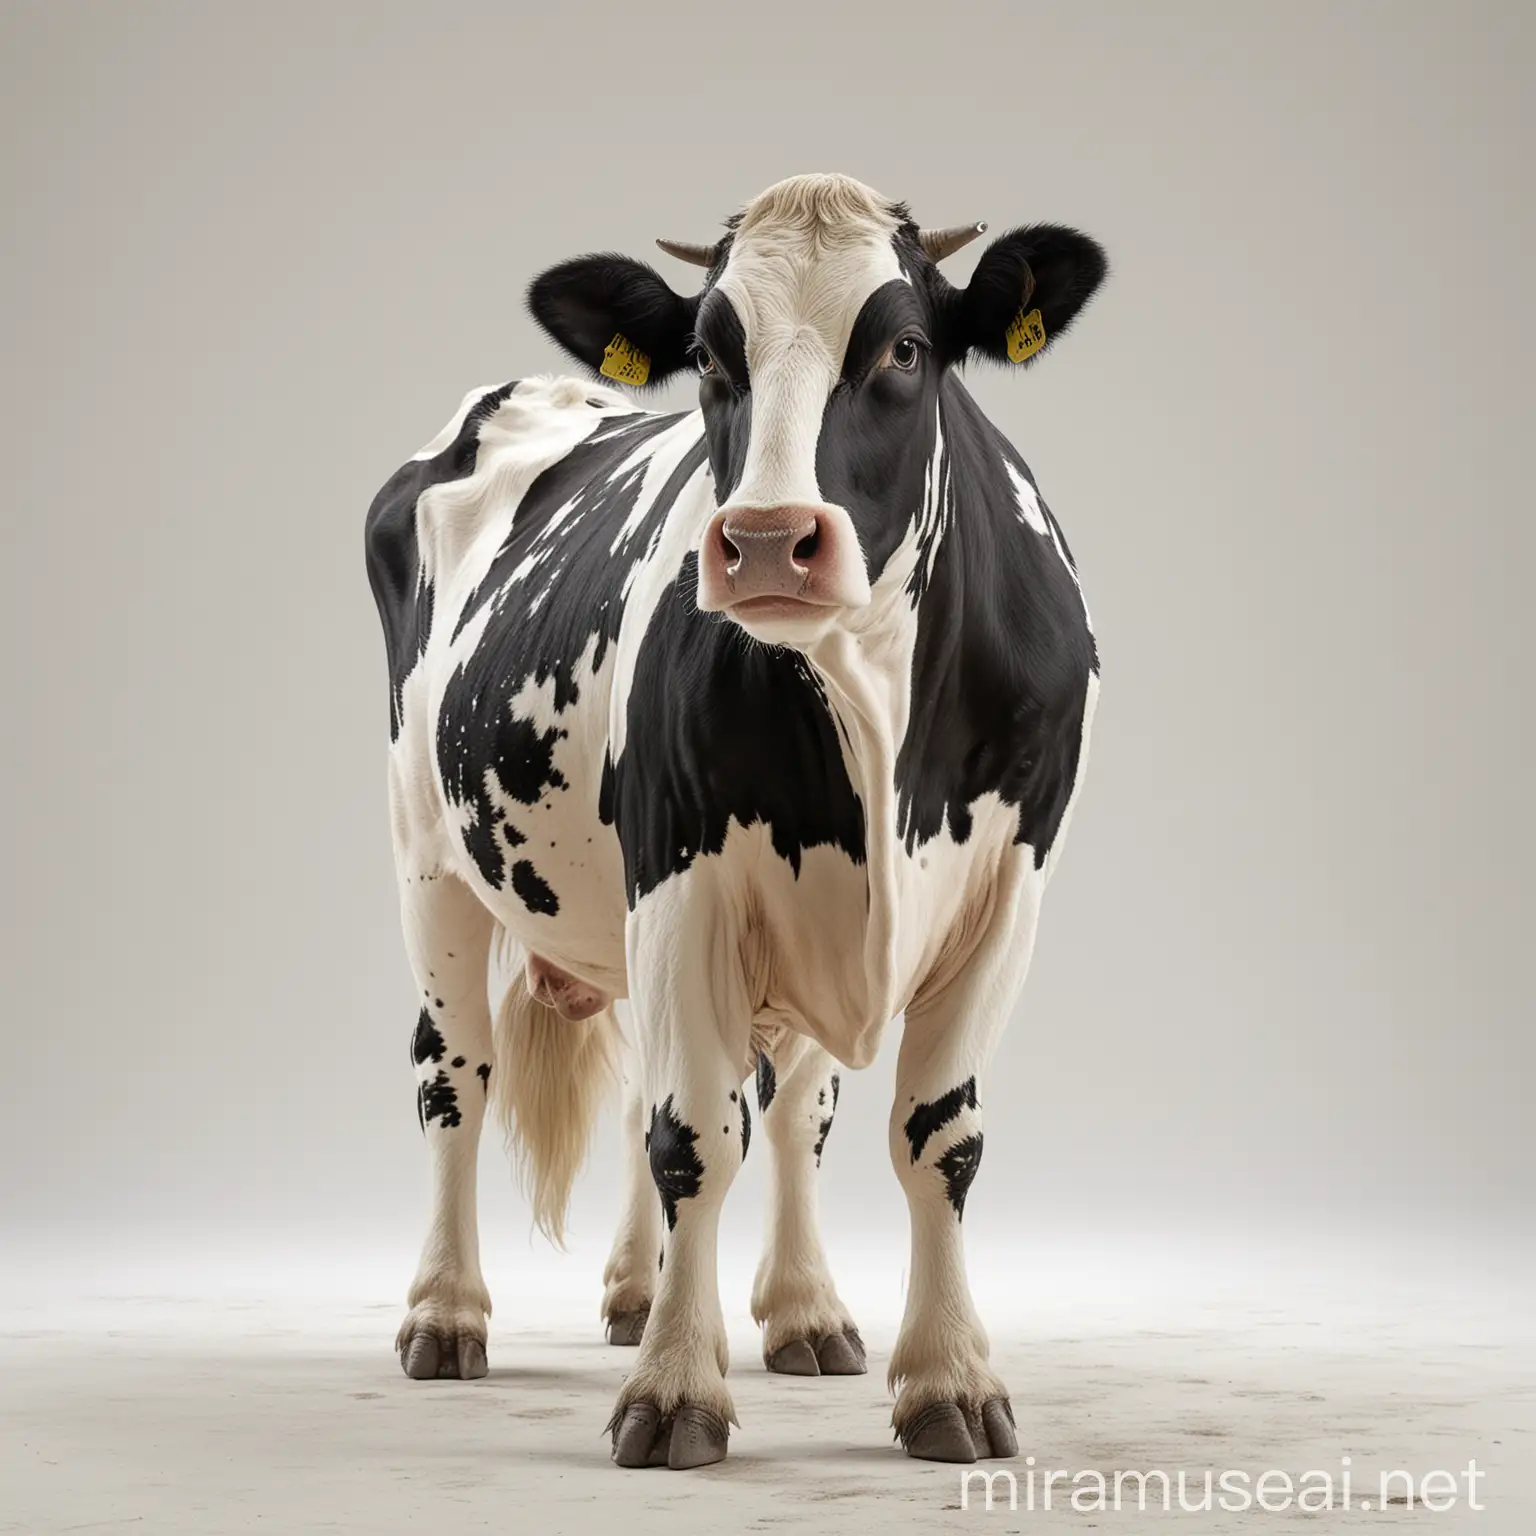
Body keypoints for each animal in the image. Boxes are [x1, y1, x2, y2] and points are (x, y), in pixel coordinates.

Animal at [365, 174, 1112, 1468]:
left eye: (904, 349)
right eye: (713, 360)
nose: (766, 541)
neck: (878, 721)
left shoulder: (1009, 886)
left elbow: (932, 1137)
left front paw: (946, 1381)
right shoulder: (682, 872)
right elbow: (696, 1139)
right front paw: (676, 1392)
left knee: (748, 1102)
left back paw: (744, 1304)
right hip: (433, 859)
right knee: (458, 1075)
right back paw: (449, 1315)